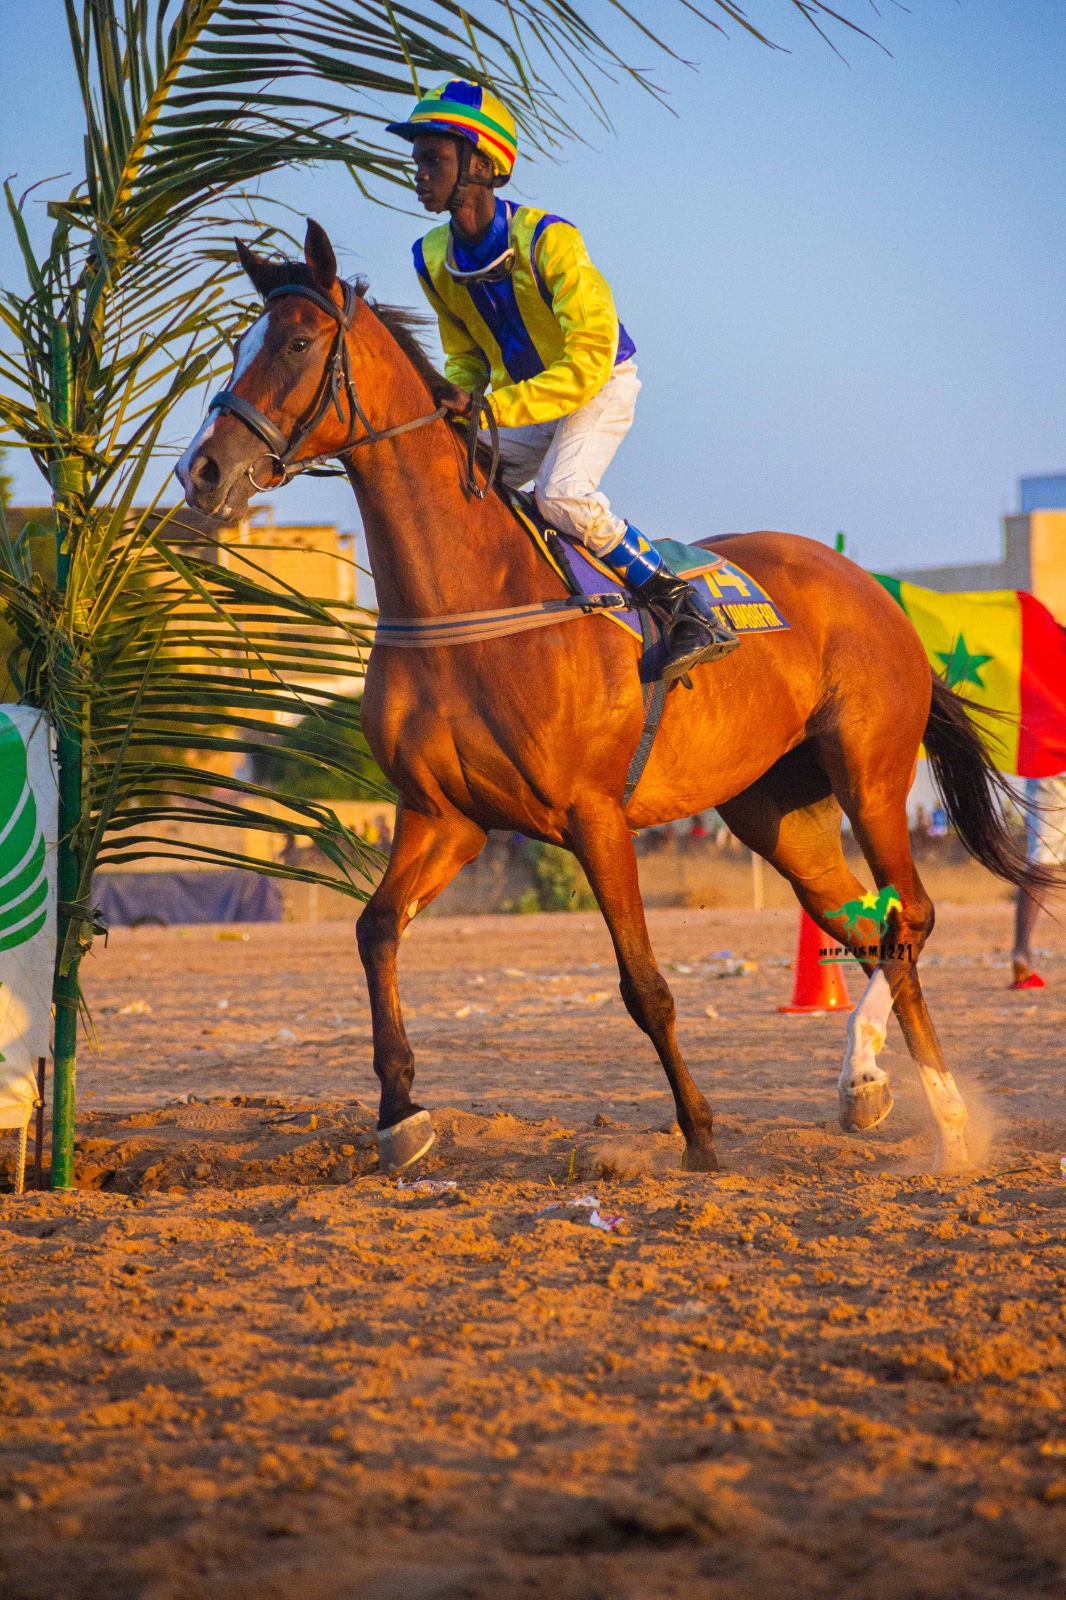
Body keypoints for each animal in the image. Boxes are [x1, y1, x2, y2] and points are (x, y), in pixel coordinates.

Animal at [177, 219, 1037, 1177]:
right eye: (236, 345)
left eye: (294, 344)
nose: (202, 470)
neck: (466, 601)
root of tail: (873, 587)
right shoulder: (445, 817)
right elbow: (375, 931)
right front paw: (401, 1112)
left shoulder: (593, 816)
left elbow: (645, 985)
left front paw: (700, 1134)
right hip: (776, 810)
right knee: (868, 929)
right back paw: (881, 1092)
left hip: (870, 773)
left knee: (909, 916)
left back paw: (944, 1116)